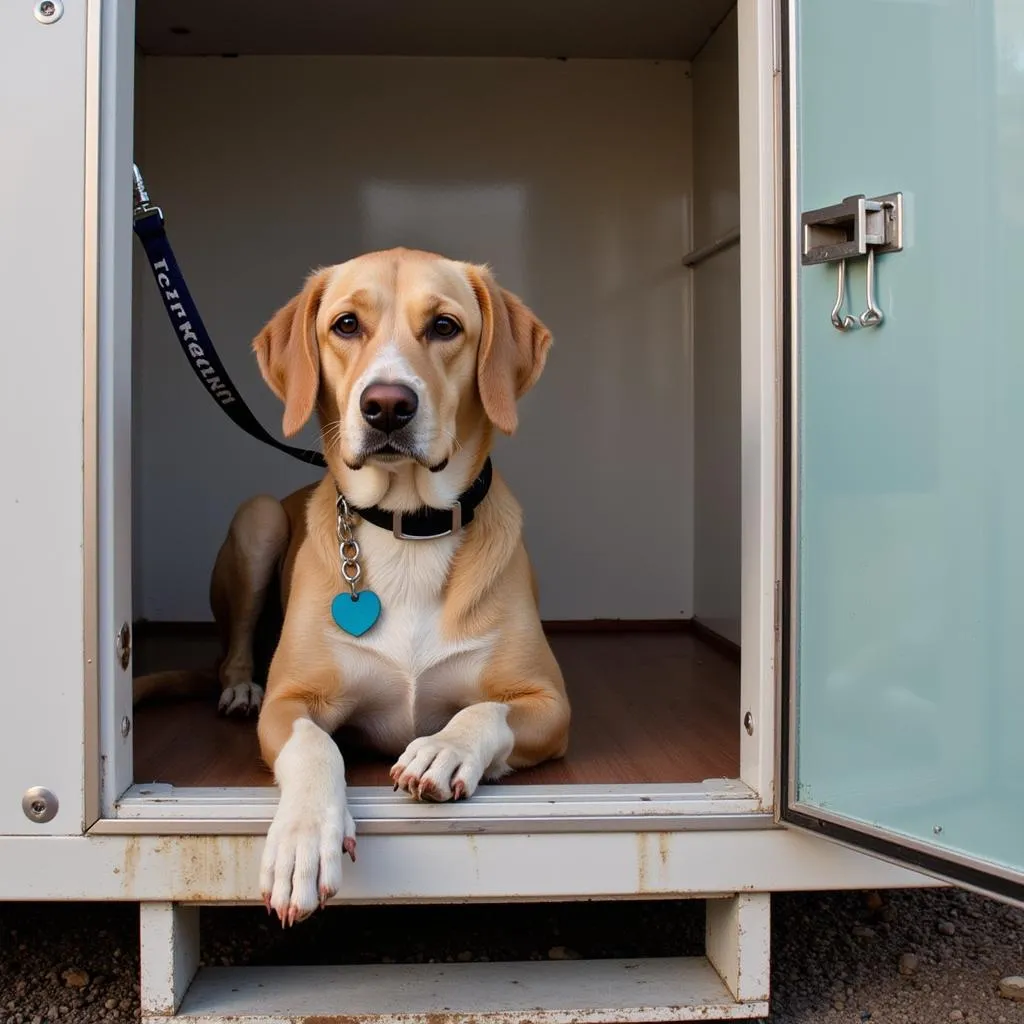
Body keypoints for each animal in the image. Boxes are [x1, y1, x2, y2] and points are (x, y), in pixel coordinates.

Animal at [138, 247, 569, 929]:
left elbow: (484, 710)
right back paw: (239, 688)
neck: (408, 527)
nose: (387, 405)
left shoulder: (549, 702)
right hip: (258, 519)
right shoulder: (293, 701)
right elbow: (315, 747)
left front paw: (442, 748)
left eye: (444, 326)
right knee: (234, 652)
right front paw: (301, 841)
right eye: (345, 325)